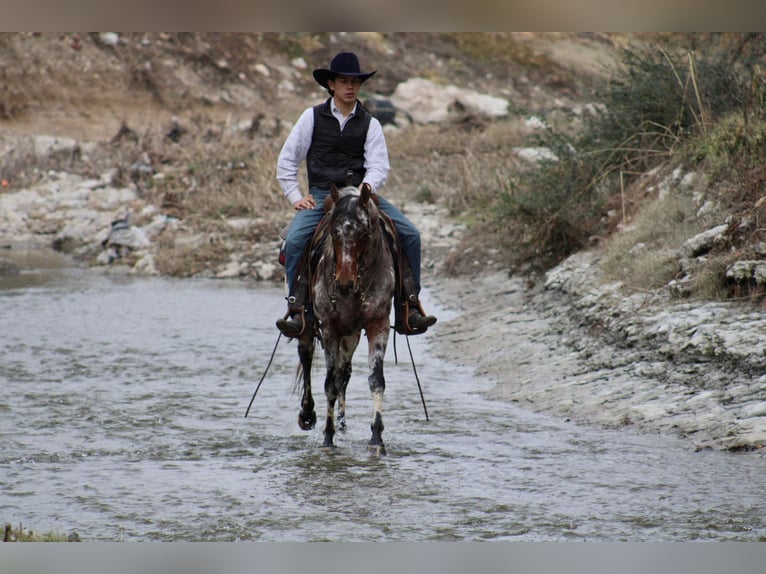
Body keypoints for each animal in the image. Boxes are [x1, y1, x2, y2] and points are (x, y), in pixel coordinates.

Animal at [296, 183, 400, 454]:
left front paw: (376, 438)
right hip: (308, 328)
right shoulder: (329, 328)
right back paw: (308, 414)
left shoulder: (378, 324)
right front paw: (327, 437)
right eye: (334, 231)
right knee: (307, 358)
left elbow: (376, 380)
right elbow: (330, 384)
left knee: (345, 371)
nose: (344, 284)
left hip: (351, 335)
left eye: (363, 231)